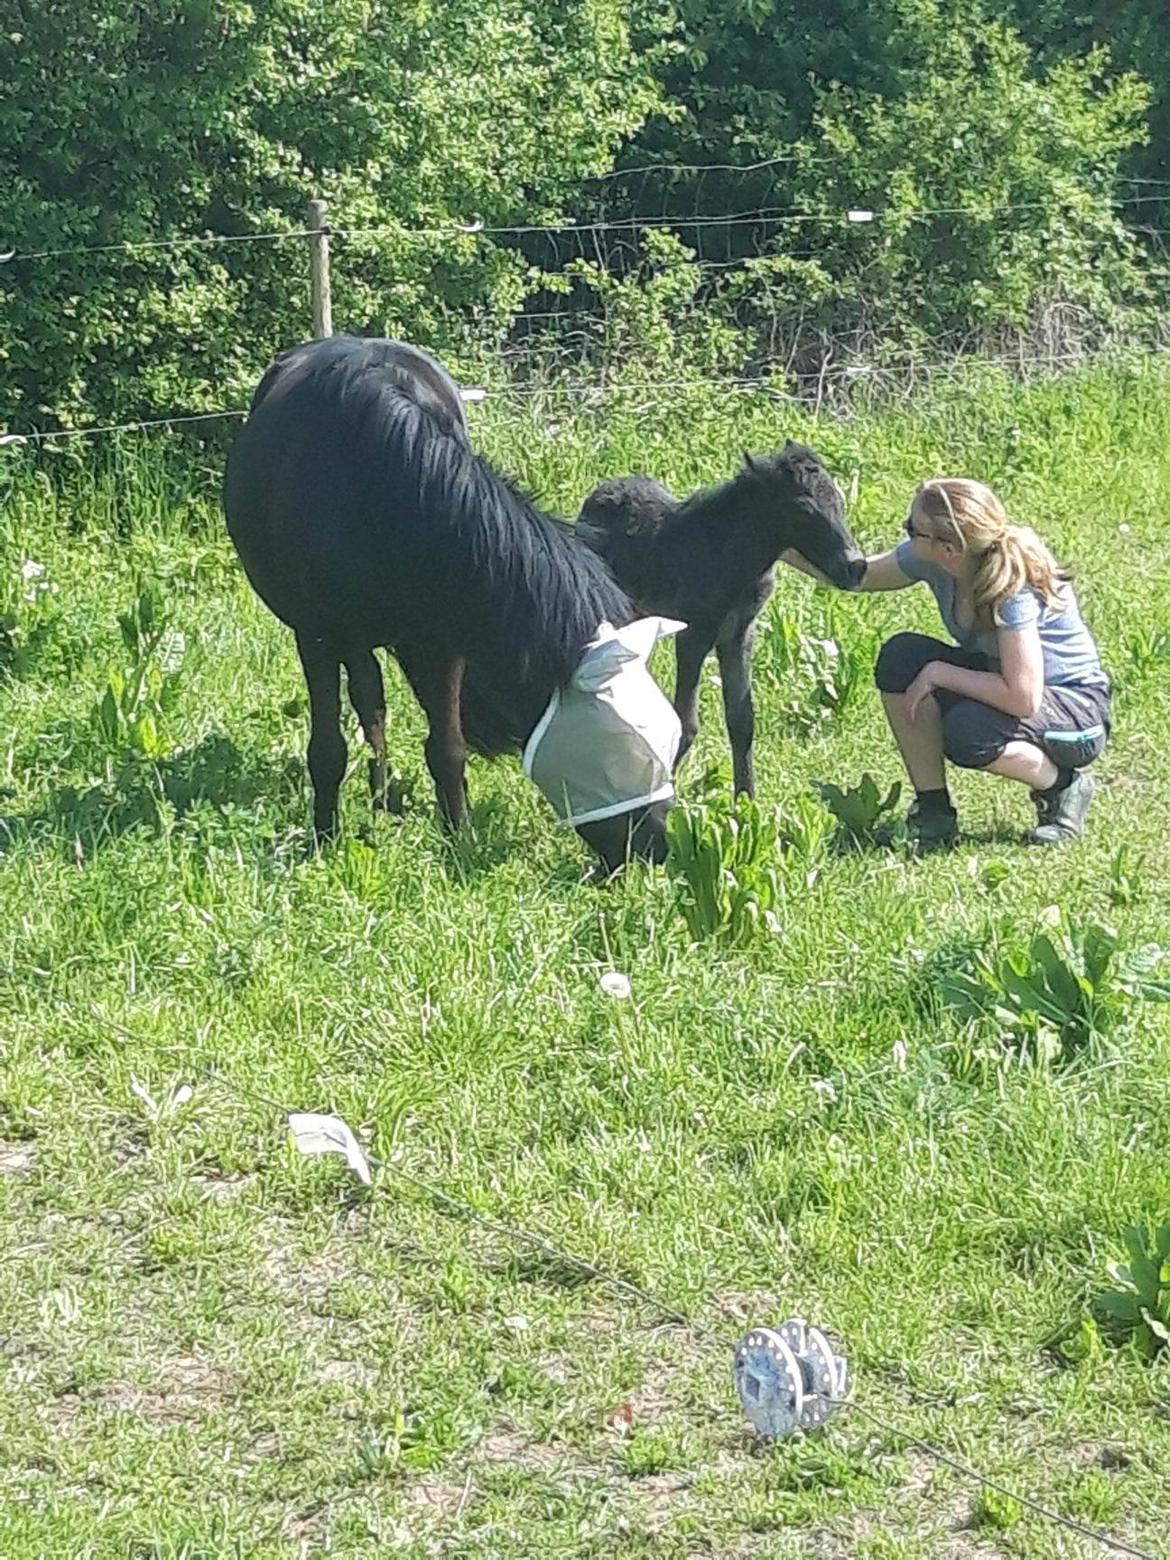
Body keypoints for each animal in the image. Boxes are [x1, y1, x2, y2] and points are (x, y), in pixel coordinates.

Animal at [226, 336, 667, 873]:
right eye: (619, 750)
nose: (655, 848)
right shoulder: (316, 635)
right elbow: (328, 747)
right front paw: (325, 839)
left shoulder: (441, 641)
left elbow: (447, 748)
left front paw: (459, 838)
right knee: (367, 700)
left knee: (374, 701)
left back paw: (386, 799)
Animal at [580, 449, 867, 792]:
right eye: (803, 509)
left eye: (838, 499)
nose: (856, 567)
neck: (732, 557)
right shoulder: (693, 634)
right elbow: (686, 723)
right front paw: (665, 789)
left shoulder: (738, 635)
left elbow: (742, 721)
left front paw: (746, 798)